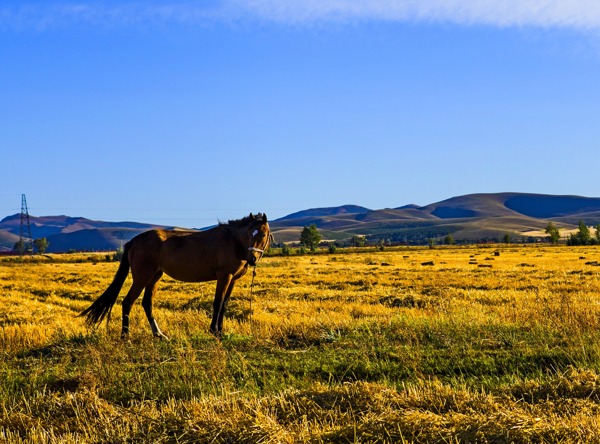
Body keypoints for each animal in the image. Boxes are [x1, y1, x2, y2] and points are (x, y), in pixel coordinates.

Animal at [78, 213, 270, 338]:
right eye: (250, 233)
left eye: (263, 234)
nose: (253, 258)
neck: (233, 242)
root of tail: (134, 241)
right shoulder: (224, 276)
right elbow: (217, 303)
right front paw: (214, 331)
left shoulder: (232, 280)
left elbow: (224, 305)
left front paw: (220, 330)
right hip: (142, 277)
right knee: (128, 302)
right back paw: (126, 336)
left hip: (154, 277)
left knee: (147, 303)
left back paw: (159, 334)